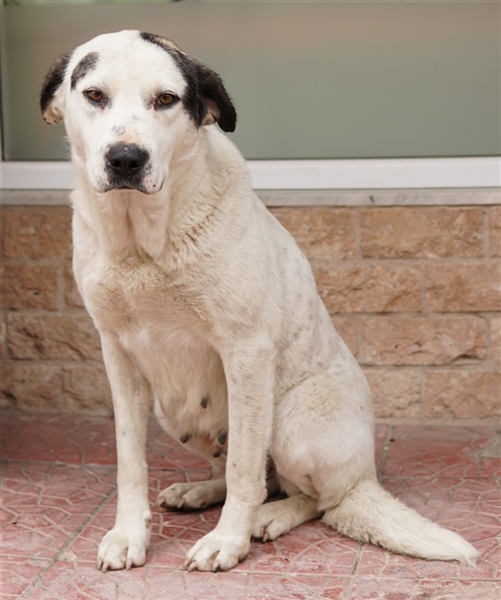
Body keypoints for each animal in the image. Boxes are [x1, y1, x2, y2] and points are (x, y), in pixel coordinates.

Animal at [40, 30, 478, 572]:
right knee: (255, 476)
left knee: (313, 498)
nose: (125, 158)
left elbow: (244, 469)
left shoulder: (246, 351)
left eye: (166, 99)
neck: (142, 242)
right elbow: (129, 462)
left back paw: (267, 518)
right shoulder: (117, 354)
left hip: (289, 419)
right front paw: (128, 535)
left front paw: (228, 541)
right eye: (94, 95)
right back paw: (198, 491)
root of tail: (365, 478)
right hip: (174, 410)